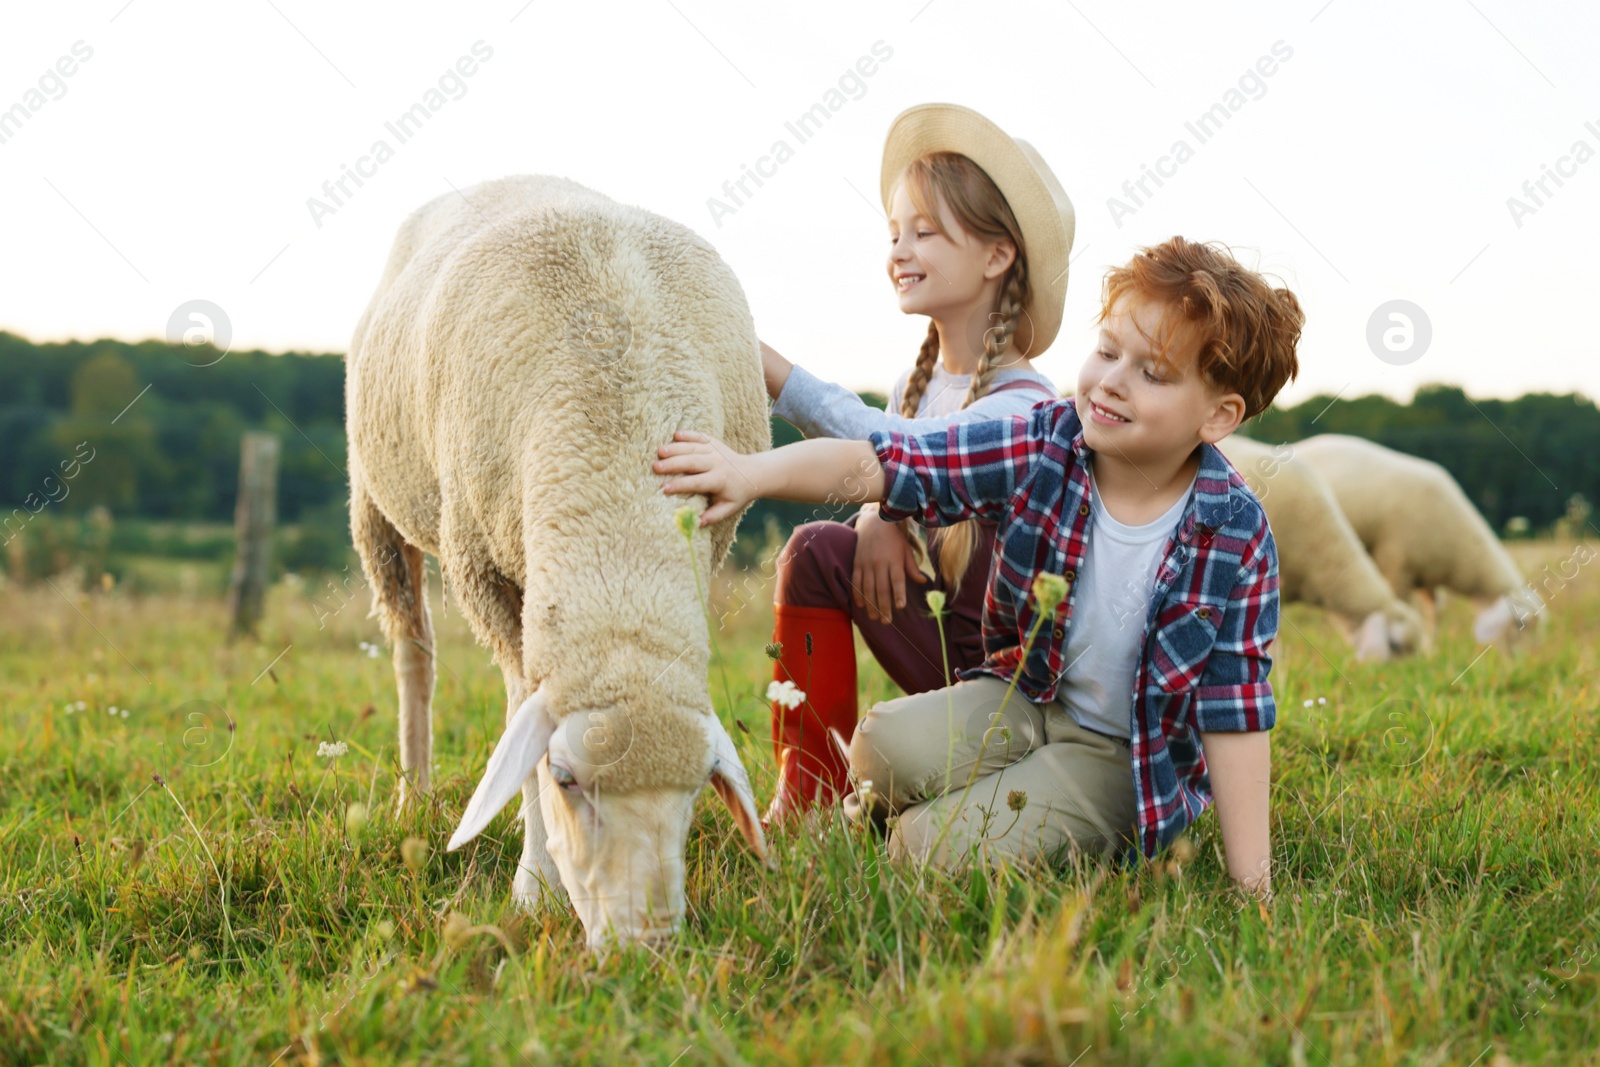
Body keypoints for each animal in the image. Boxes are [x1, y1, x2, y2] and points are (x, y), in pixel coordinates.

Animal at [348, 175, 774, 953]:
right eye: (567, 777)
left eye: (699, 786)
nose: (646, 946)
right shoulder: (483, 569)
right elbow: (520, 706)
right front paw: (534, 884)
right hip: (375, 503)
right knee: (411, 649)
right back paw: (411, 792)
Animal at [1292, 435, 1542, 652]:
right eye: (1521, 627)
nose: (1523, 662)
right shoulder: (1396, 564)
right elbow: (1402, 607)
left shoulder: (1428, 575)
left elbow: (1434, 612)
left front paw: (1429, 650)